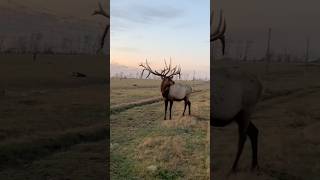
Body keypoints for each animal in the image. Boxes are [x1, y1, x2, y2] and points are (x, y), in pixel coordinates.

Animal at [211, 10, 264, 172]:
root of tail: (260, 84)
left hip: (248, 107)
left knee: (243, 136)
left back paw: (233, 169)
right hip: (240, 113)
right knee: (254, 131)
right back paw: (254, 165)